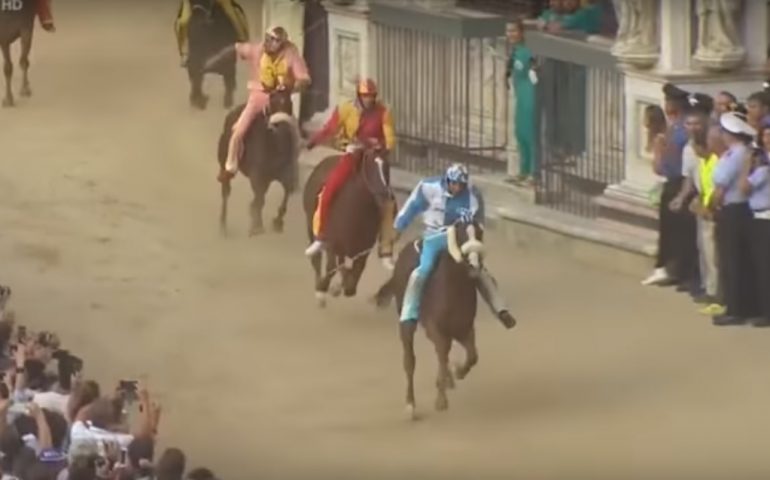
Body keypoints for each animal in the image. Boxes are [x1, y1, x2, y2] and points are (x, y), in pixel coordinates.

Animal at [219, 90, 300, 236]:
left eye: (289, 103)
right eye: (271, 103)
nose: (281, 126)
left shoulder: (286, 175)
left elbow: (286, 192)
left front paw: (277, 222)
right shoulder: (257, 178)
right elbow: (260, 199)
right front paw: (257, 226)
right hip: (224, 161)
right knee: (226, 190)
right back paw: (223, 225)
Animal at [302, 145, 390, 308]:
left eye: (387, 167)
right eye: (370, 166)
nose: (385, 195)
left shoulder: (364, 248)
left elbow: (354, 276)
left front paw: (340, 286)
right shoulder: (332, 242)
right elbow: (332, 267)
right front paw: (322, 291)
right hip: (310, 227)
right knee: (317, 259)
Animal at [372, 219, 486, 418]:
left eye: (479, 234)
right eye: (462, 235)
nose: (474, 266)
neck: (454, 290)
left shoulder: (464, 327)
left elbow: (472, 356)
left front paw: (457, 372)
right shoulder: (436, 328)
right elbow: (442, 352)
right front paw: (441, 400)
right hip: (406, 320)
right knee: (409, 360)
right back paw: (410, 404)